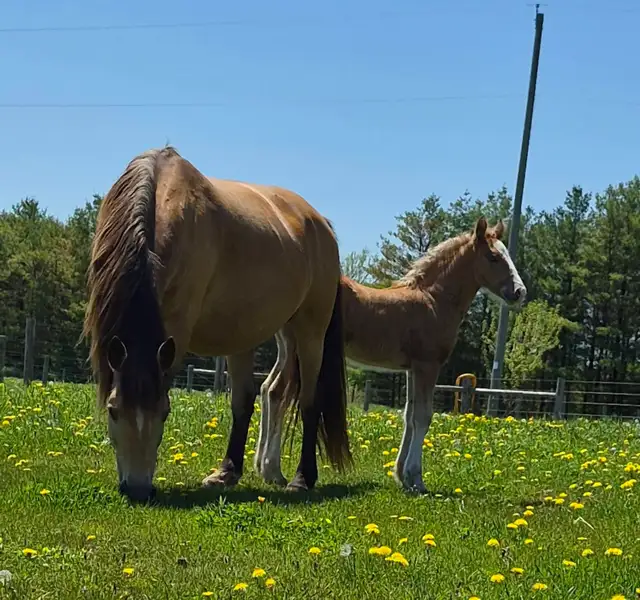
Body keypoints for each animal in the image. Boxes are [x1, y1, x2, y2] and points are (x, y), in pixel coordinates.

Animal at [83, 145, 351, 502]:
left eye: (164, 412)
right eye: (113, 410)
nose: (138, 489)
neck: (161, 195)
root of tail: (321, 224)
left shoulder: (177, 330)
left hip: (311, 332)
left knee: (309, 400)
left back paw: (301, 478)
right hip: (265, 332)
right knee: (254, 397)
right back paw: (234, 471)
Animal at [254, 217, 527, 492]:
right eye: (493, 257)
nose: (519, 292)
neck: (434, 300)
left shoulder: (412, 368)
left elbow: (409, 416)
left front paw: (402, 476)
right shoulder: (428, 365)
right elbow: (423, 417)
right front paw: (416, 479)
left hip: (287, 350)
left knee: (267, 389)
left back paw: (263, 468)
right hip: (301, 349)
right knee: (278, 393)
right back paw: (273, 470)